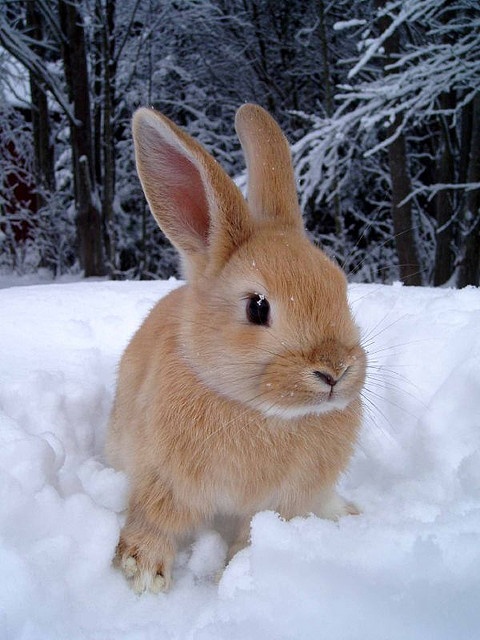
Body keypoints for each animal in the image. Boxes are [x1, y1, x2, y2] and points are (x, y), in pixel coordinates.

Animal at [106, 101, 368, 596]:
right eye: (257, 307)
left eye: (341, 287)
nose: (334, 370)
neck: (257, 412)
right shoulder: (165, 479)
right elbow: (156, 519)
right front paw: (143, 573)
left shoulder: (283, 502)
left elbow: (251, 537)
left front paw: (239, 574)